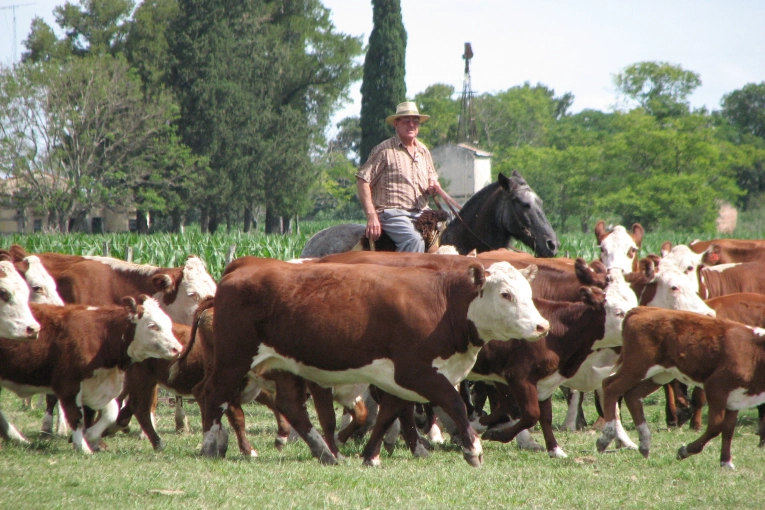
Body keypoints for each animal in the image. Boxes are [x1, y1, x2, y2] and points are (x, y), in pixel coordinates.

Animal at [0, 296, 182, 452]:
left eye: (168, 324)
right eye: (152, 325)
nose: (178, 349)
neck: (101, 335)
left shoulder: (97, 385)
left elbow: (112, 412)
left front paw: (91, 436)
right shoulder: (68, 385)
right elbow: (76, 417)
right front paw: (82, 446)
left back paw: (17, 438)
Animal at [194, 258, 548, 466]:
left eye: (528, 292)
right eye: (505, 294)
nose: (541, 326)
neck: (443, 304)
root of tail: (243, 266)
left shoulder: (398, 378)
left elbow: (388, 414)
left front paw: (370, 456)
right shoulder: (416, 371)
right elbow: (453, 403)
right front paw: (472, 450)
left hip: (283, 365)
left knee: (291, 407)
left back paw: (326, 453)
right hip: (233, 359)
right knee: (212, 394)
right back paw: (211, 444)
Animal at [596, 306, 764, 470]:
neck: (754, 351)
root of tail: (642, 309)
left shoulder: (736, 398)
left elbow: (728, 429)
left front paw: (726, 462)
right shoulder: (716, 387)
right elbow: (716, 426)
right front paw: (685, 451)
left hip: (662, 373)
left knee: (632, 395)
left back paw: (644, 442)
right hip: (638, 366)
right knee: (610, 386)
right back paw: (606, 438)